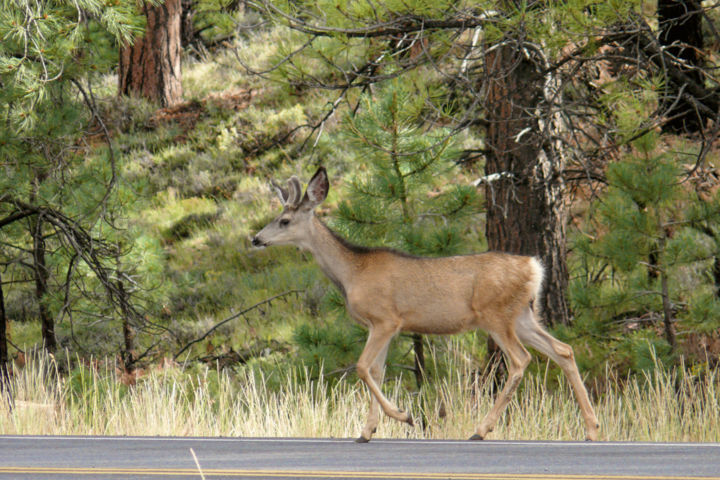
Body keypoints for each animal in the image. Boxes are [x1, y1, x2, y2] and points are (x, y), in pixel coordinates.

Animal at [250, 167, 600, 444]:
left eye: (284, 220)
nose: (255, 239)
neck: (352, 273)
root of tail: (534, 266)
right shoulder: (383, 326)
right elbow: (376, 370)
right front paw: (367, 431)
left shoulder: (386, 319)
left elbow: (362, 367)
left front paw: (403, 416)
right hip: (522, 315)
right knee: (563, 350)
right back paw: (591, 428)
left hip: (496, 314)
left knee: (520, 360)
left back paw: (481, 429)